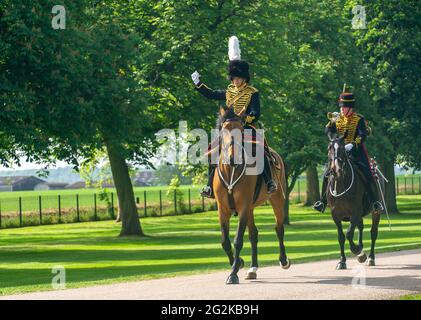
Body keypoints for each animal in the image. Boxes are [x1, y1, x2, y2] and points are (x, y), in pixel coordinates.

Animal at [213, 108, 288, 284]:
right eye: (224, 129)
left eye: (241, 129)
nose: (233, 157)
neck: (231, 171)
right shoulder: (223, 209)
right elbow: (225, 241)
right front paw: (238, 263)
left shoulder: (243, 207)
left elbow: (238, 240)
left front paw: (233, 273)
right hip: (251, 209)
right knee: (254, 234)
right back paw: (252, 269)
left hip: (277, 199)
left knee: (279, 228)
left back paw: (283, 260)